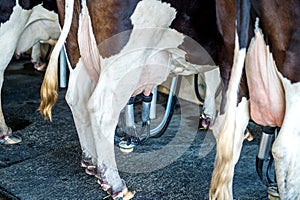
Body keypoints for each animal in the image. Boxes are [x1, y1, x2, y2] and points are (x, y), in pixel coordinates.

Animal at [38, 0, 219, 198]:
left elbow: (212, 75)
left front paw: (208, 116)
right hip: (125, 54)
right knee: (102, 110)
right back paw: (114, 183)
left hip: (77, 48)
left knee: (76, 99)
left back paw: (91, 161)